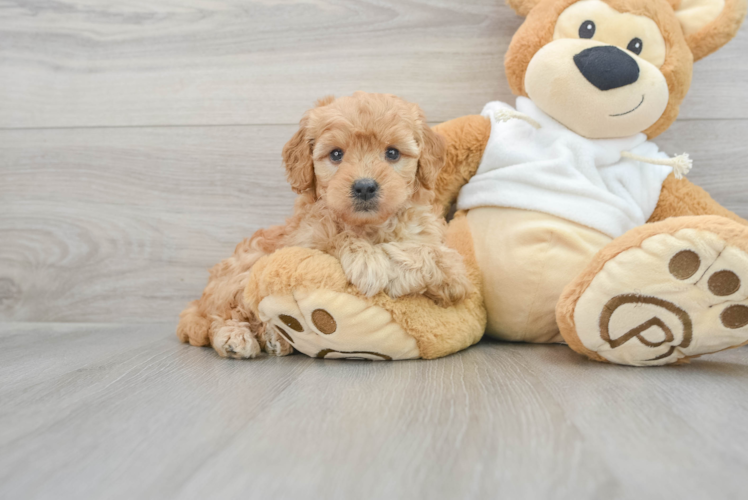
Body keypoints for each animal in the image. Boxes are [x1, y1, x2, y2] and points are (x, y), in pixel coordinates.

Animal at [177, 93, 474, 360]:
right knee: (220, 316)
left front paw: (393, 266)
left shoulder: (451, 271)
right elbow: (334, 234)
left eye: (392, 153)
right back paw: (236, 338)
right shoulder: (303, 240)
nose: (364, 187)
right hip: (243, 272)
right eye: (336, 154)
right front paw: (368, 260)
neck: (371, 226)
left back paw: (275, 339)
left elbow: (437, 260)